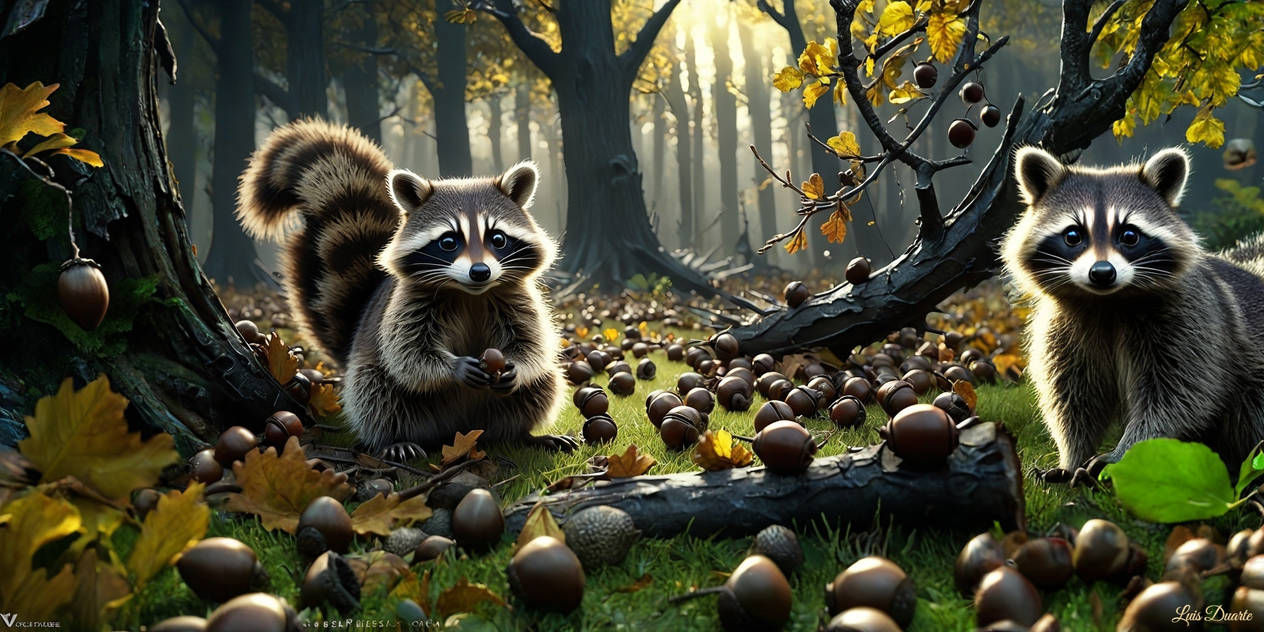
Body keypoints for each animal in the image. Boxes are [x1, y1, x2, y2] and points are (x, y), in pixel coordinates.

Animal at [237, 119, 572, 458]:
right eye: (448, 242)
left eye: (498, 239)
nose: (480, 272)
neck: (469, 294)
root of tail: (461, 429)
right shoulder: (408, 304)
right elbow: (408, 355)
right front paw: (452, 367)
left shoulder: (516, 298)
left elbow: (533, 344)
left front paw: (518, 365)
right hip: (379, 378)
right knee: (376, 392)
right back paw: (394, 438)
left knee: (546, 381)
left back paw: (523, 433)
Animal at [1001, 146, 1264, 478]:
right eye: (1073, 235)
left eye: (1129, 235)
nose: (1102, 273)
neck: (1108, 302)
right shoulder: (1062, 329)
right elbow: (1072, 397)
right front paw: (1071, 456)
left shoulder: (1193, 319)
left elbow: (1178, 397)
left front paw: (1126, 452)